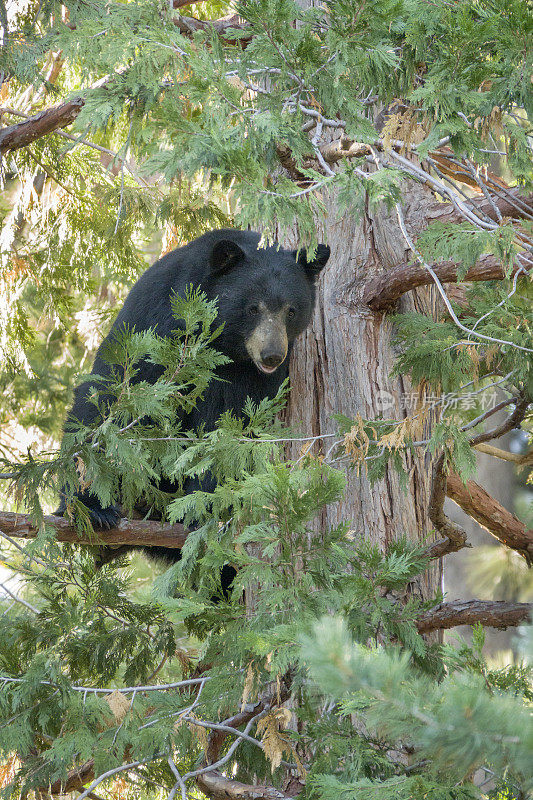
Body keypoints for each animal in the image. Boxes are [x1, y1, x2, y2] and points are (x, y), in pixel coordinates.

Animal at [58, 228, 328, 572]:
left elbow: (227, 434)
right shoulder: (157, 324)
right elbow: (113, 397)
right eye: (253, 308)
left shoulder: (256, 381)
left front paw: (203, 505)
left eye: (291, 310)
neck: (224, 345)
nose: (271, 354)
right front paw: (91, 504)